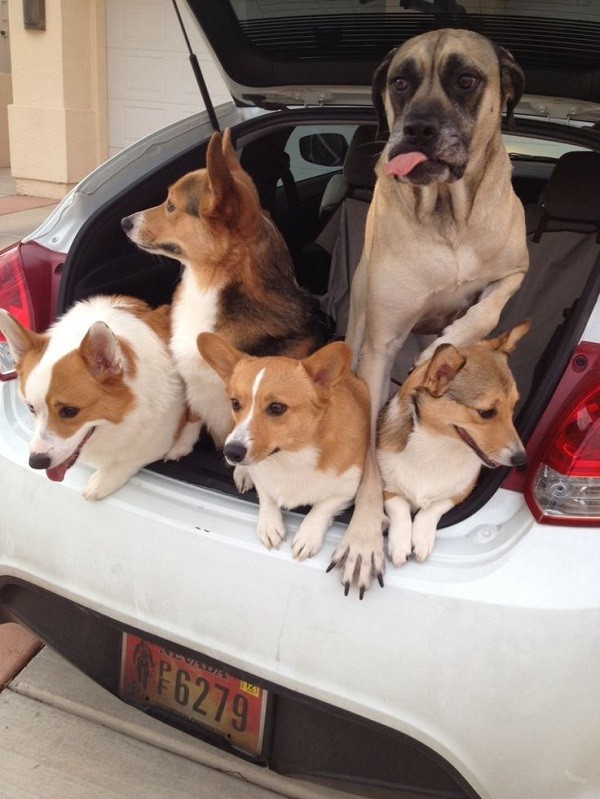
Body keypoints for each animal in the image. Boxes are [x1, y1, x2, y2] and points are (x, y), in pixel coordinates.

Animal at [0, 296, 192, 500]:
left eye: (69, 411)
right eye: (31, 408)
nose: (36, 463)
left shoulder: (161, 436)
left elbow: (132, 457)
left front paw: (103, 480)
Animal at [199, 334, 368, 564]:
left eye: (276, 408)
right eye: (235, 403)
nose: (231, 453)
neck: (290, 457)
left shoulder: (347, 489)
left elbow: (322, 508)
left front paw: (307, 536)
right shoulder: (262, 478)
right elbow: (266, 497)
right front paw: (269, 526)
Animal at [378, 322, 528, 564]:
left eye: (514, 406)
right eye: (486, 412)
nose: (521, 459)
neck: (439, 445)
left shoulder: (461, 493)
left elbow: (433, 508)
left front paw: (421, 539)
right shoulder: (386, 487)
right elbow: (399, 506)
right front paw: (400, 543)